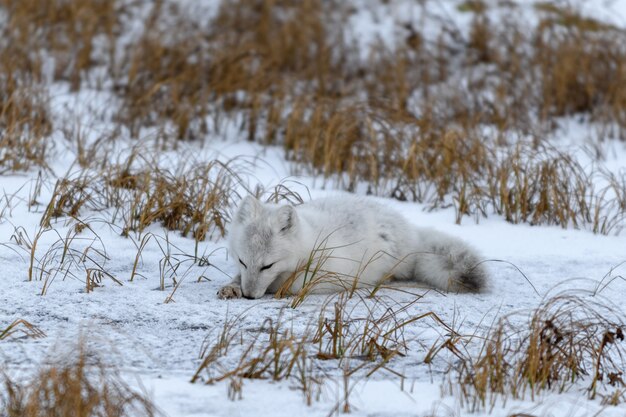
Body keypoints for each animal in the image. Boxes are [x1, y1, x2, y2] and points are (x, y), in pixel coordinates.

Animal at [217, 195, 486, 300]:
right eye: (242, 261)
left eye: (267, 266)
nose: (250, 295)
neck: (307, 244)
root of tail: (413, 230)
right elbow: (237, 278)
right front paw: (232, 287)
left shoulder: (328, 274)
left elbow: (289, 284)